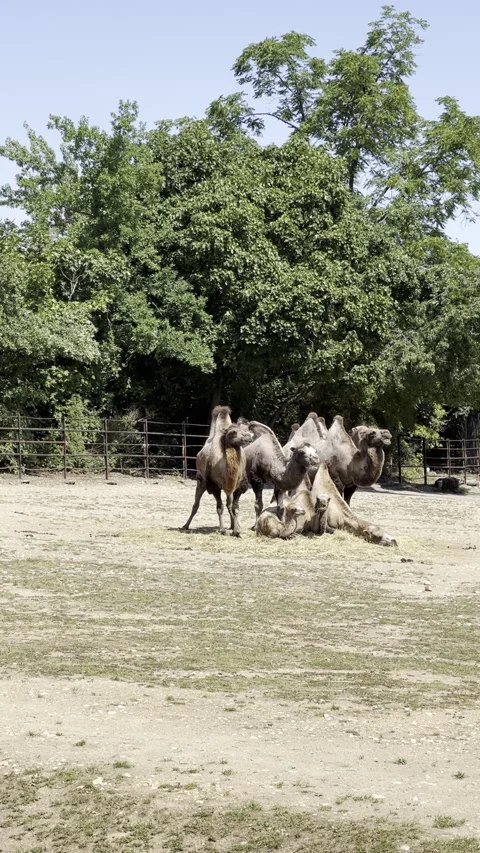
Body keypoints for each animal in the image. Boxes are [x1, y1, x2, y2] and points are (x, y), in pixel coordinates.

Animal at [182, 406, 254, 536]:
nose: (248, 438)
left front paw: (237, 530)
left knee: (228, 504)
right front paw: (222, 530)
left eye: (246, 430)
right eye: (233, 432)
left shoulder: (238, 485)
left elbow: (235, 507)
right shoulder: (214, 485)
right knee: (196, 504)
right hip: (201, 481)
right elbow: (220, 507)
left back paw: (234, 525)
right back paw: (185, 525)